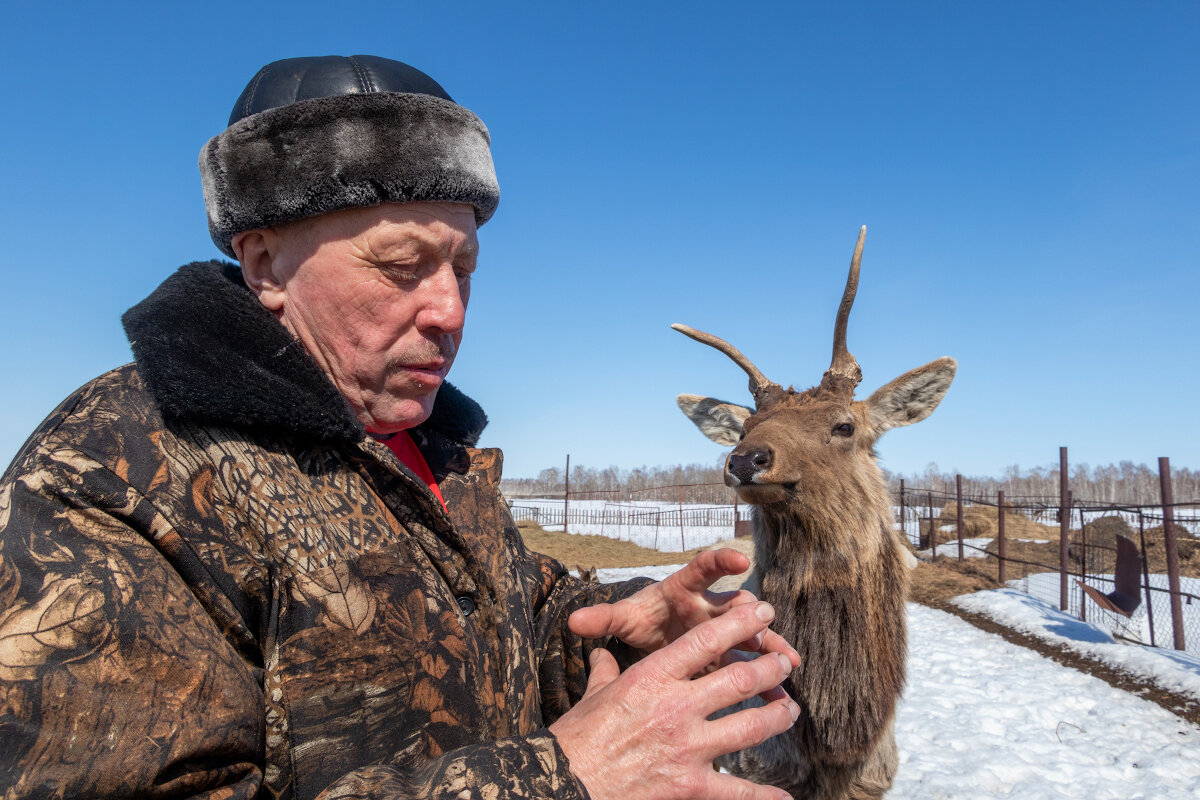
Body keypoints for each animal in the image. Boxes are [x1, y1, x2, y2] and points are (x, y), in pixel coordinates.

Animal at [681, 225, 950, 800]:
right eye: (744, 427)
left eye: (844, 425)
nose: (745, 458)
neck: (838, 739)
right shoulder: (756, 768)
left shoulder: (874, 780)